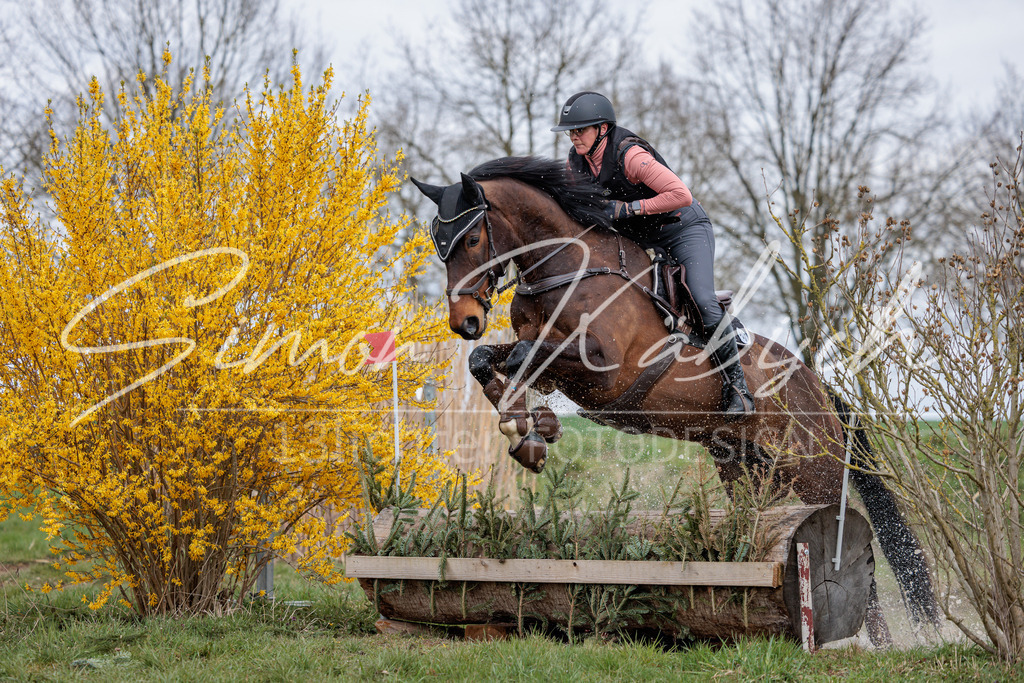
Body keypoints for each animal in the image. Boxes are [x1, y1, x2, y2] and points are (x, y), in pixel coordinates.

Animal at [411, 156, 939, 641]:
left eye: (472, 240)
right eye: (440, 246)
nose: (464, 321)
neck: (567, 268)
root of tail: (818, 386)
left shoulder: (603, 367)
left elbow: (523, 355)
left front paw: (534, 428)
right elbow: (487, 359)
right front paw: (528, 432)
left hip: (815, 470)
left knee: (854, 551)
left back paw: (873, 644)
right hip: (746, 469)